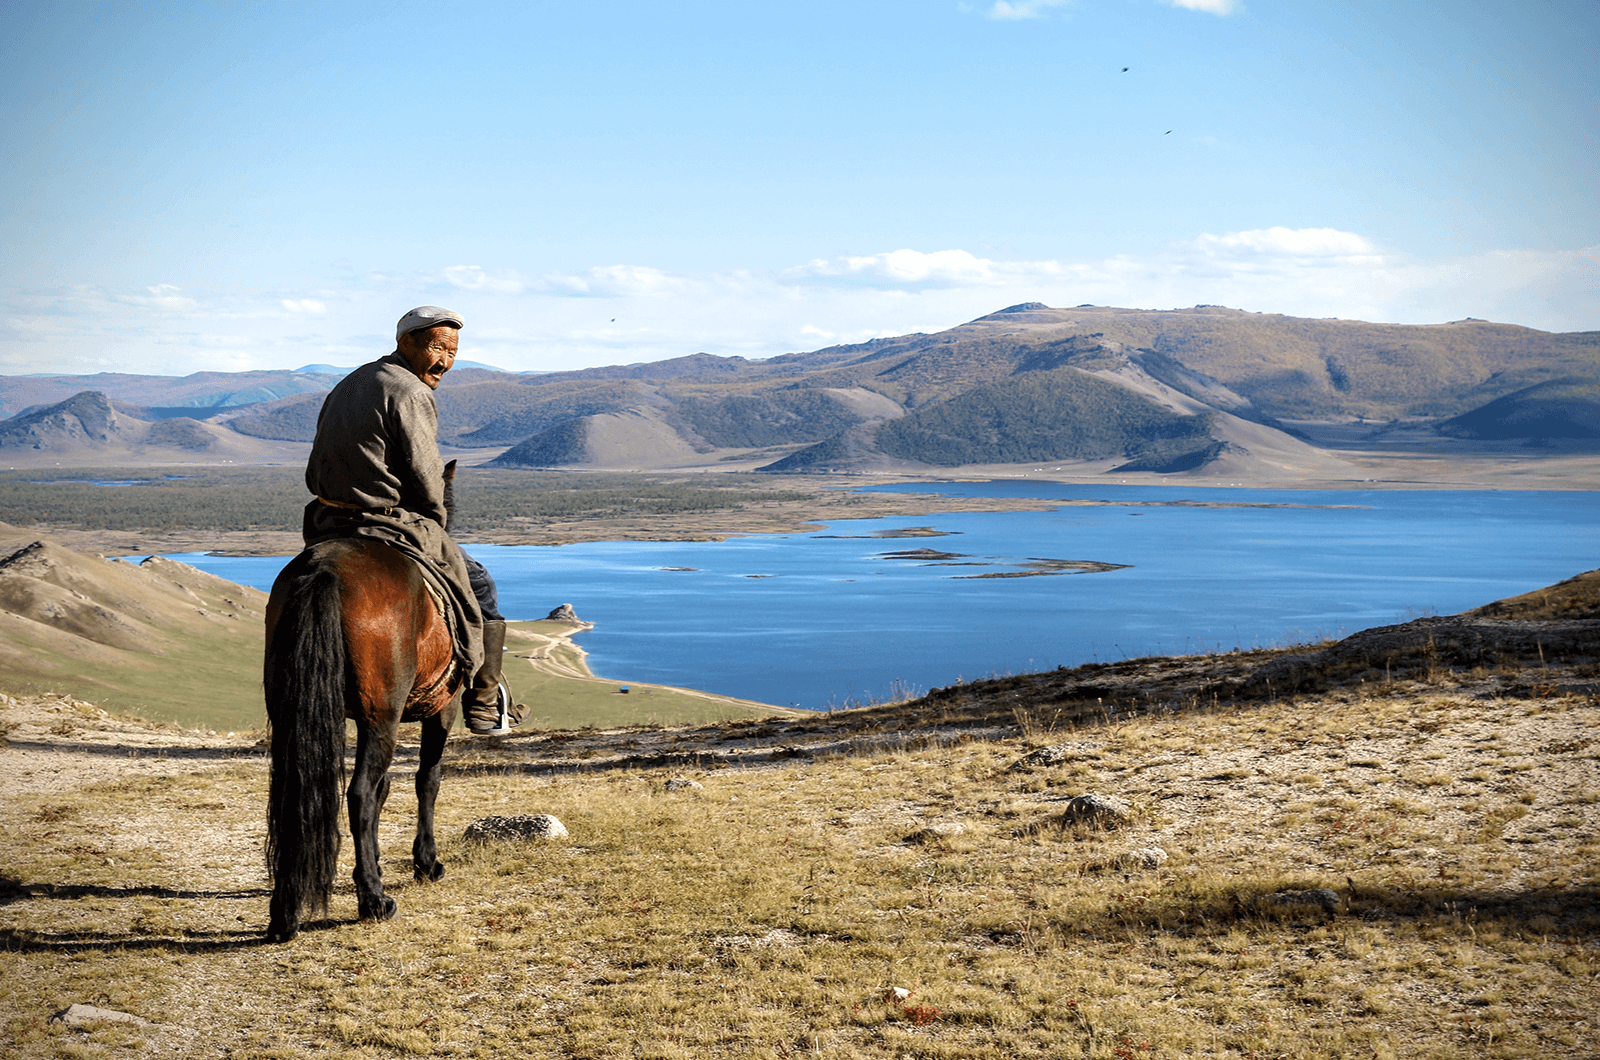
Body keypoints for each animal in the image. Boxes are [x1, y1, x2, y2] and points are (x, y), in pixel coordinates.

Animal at [265, 470, 467, 941]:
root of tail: (323, 569)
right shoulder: (441, 709)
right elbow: (426, 781)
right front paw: (425, 863)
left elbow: (385, 788)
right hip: (384, 718)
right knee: (358, 794)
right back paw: (375, 901)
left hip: (291, 714)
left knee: (292, 793)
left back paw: (284, 915)